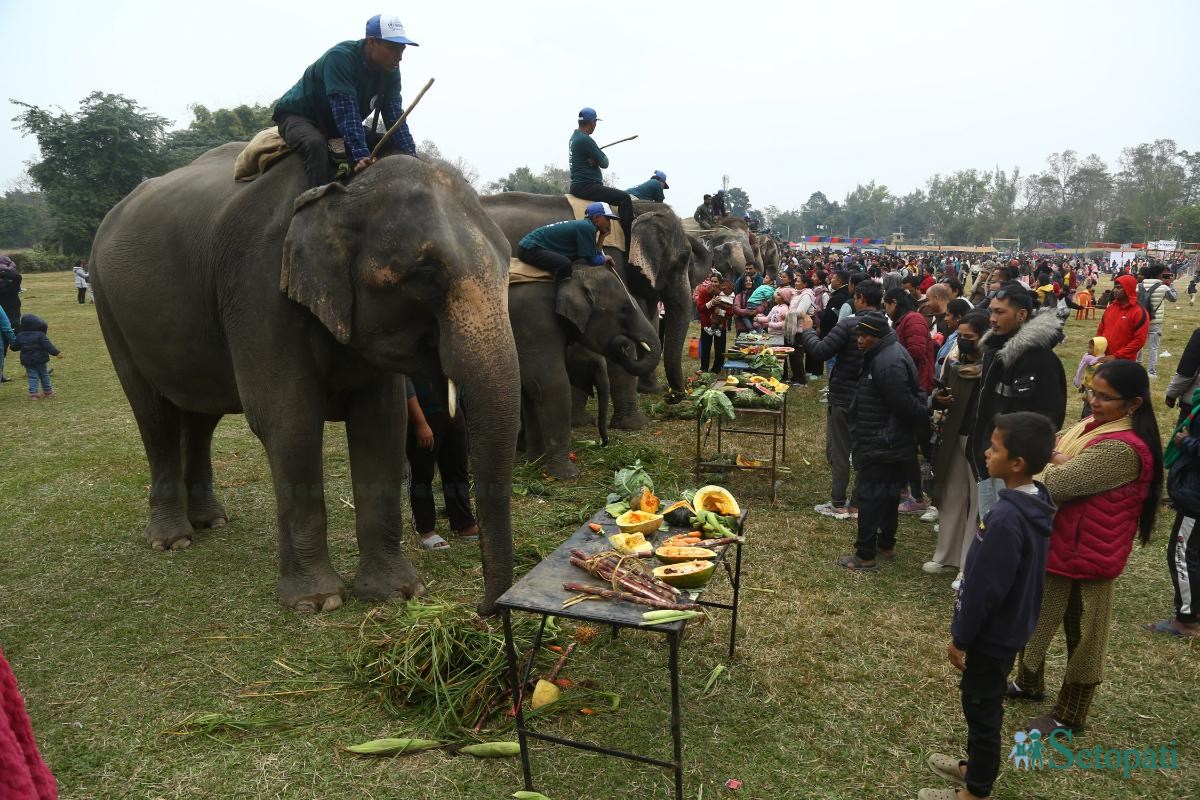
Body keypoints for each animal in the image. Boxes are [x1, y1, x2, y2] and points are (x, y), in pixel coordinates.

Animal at [88, 146, 520, 618]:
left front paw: (399, 593)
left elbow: (381, 427)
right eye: (427, 275)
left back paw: (211, 521)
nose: (483, 610)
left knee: (201, 416)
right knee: (155, 416)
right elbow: (288, 422)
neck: (341, 191)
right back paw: (172, 540)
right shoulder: (260, 289)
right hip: (108, 308)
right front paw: (318, 602)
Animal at [506, 266, 657, 479]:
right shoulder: (534, 324)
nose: (603, 443)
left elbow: (530, 389)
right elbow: (552, 385)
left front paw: (534, 461)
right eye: (624, 310)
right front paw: (565, 475)